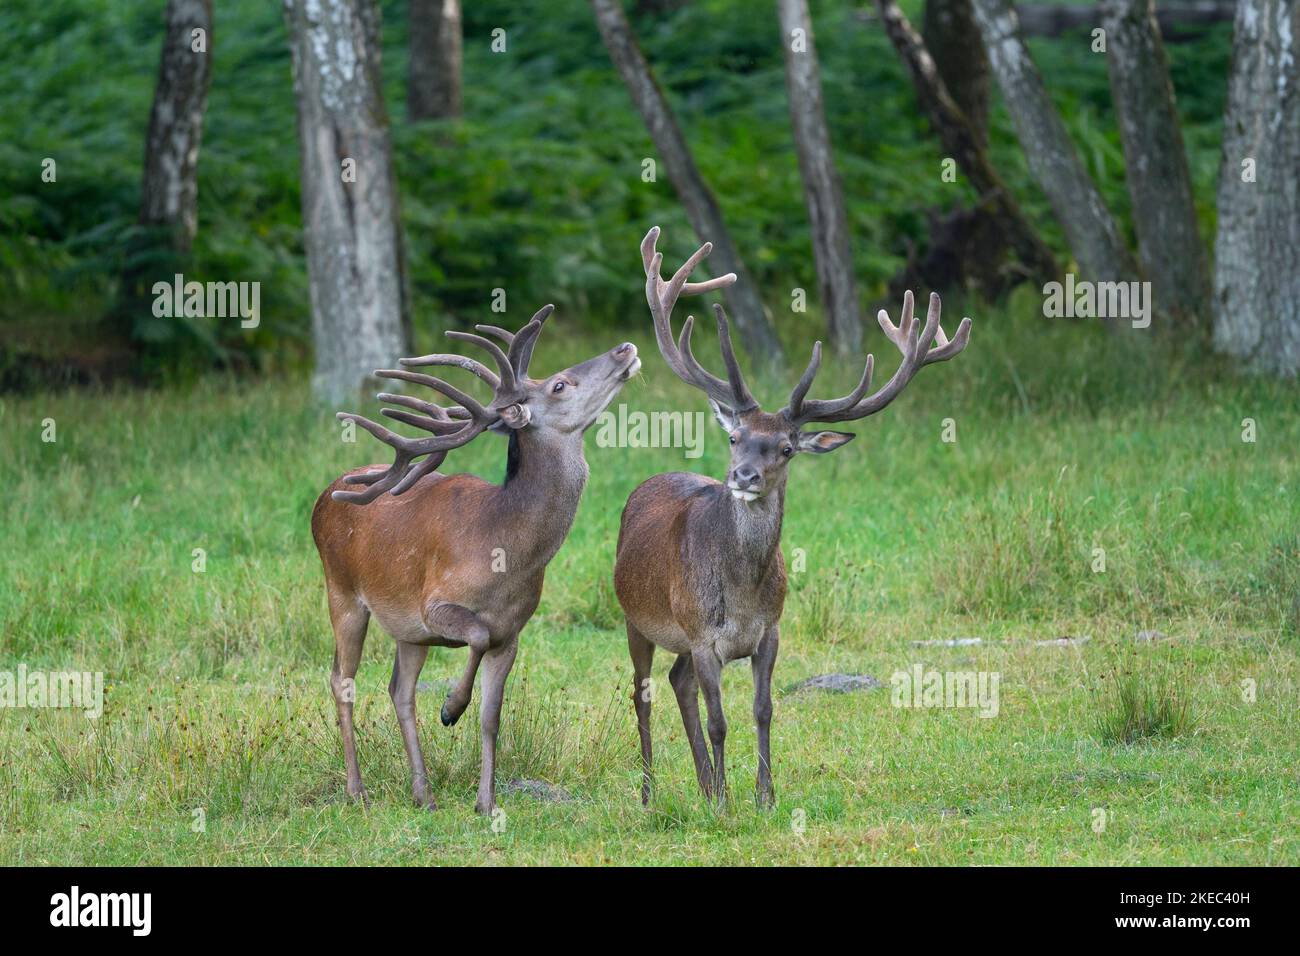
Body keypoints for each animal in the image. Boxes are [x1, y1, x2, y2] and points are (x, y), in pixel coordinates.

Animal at [308, 308, 650, 816]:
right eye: (560, 385)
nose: (625, 348)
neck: (503, 552)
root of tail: (322, 498)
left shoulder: (512, 631)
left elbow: (492, 715)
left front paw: (486, 803)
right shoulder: (436, 604)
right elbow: (475, 633)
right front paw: (451, 707)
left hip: (407, 629)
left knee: (399, 690)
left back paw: (423, 793)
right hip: (342, 590)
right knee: (341, 681)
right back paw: (358, 791)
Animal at [613, 227, 972, 806]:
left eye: (784, 448)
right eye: (734, 437)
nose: (743, 476)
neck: (740, 594)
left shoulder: (770, 631)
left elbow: (763, 710)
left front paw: (763, 797)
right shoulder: (702, 633)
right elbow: (720, 721)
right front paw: (730, 805)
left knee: (676, 683)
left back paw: (704, 785)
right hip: (636, 618)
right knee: (643, 692)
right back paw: (651, 795)